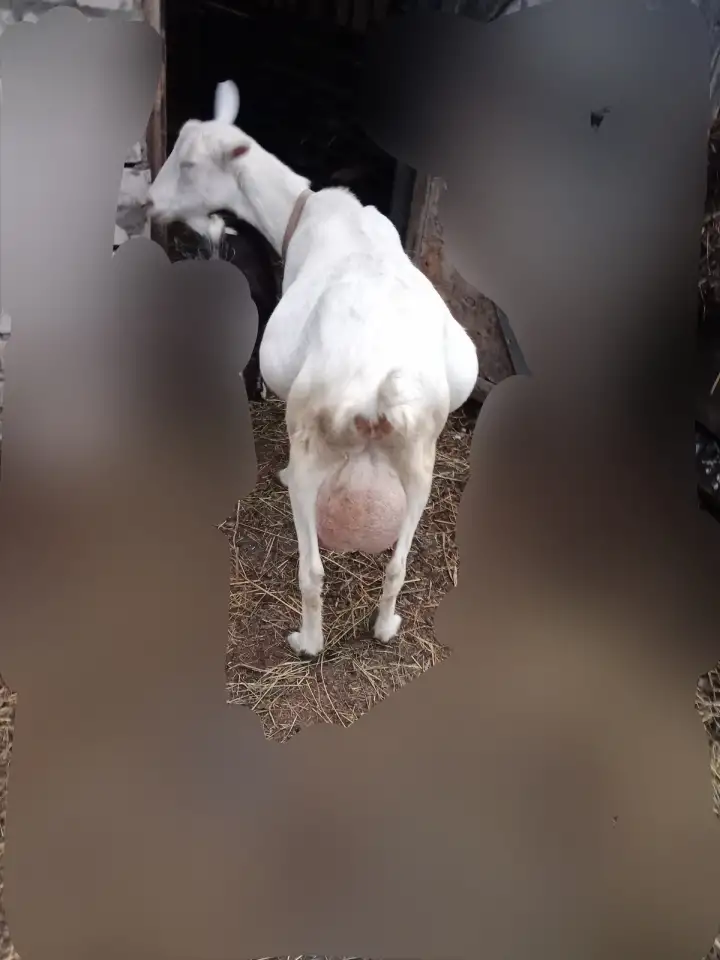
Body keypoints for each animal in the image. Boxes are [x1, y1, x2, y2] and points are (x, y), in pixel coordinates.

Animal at [146, 80, 479, 658]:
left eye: (187, 163)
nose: (147, 201)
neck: (303, 211)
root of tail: (376, 402)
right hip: (421, 461)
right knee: (397, 565)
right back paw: (385, 628)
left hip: (312, 450)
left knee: (312, 571)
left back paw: (307, 640)